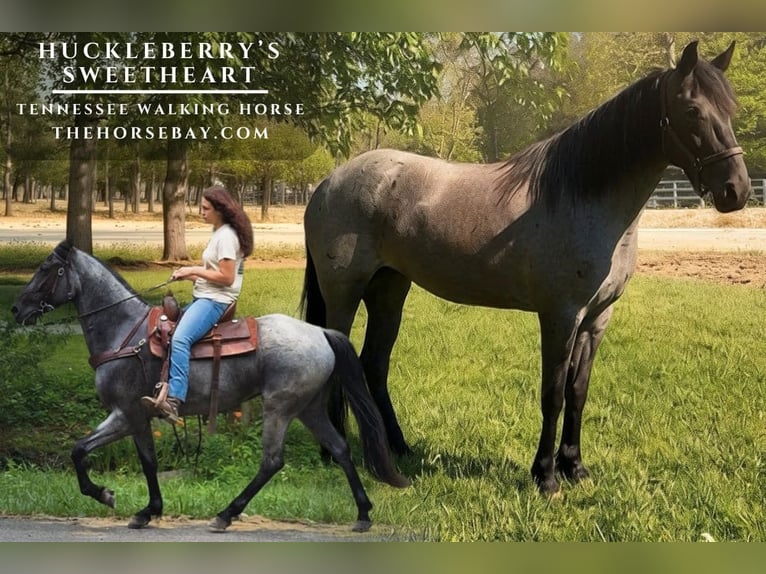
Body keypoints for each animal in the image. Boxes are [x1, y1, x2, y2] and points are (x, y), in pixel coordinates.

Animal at [11, 241, 408, 532]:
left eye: (47, 269)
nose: (16, 309)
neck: (125, 331)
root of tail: (321, 333)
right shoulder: (137, 418)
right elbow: (147, 461)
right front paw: (148, 510)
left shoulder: (126, 414)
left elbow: (80, 451)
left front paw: (106, 495)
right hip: (308, 408)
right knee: (340, 448)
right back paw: (363, 514)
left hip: (279, 407)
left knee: (272, 461)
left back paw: (226, 514)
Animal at [301, 40, 751, 495]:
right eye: (692, 110)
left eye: (730, 109)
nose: (737, 190)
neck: (582, 198)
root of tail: (328, 183)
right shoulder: (560, 315)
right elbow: (552, 394)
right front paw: (546, 475)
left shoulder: (596, 319)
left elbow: (578, 391)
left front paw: (575, 467)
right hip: (345, 293)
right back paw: (332, 453)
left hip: (390, 290)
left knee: (375, 364)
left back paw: (398, 448)